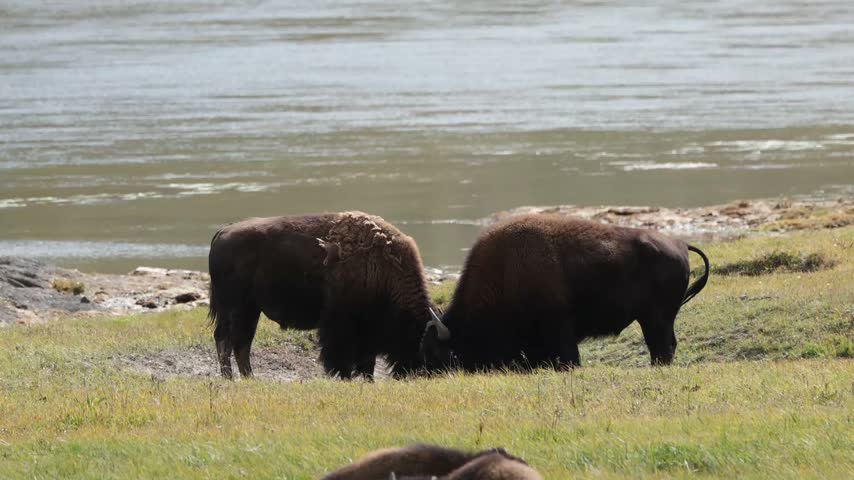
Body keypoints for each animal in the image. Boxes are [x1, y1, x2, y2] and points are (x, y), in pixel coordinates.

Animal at [421, 214, 710, 370]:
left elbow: (569, 357)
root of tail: (680, 244)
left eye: (442, 355)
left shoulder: (560, 327)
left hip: (655, 318)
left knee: (661, 346)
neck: (504, 271)